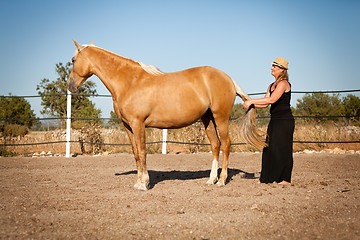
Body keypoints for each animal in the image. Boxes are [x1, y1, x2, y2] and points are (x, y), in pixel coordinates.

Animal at [67, 40, 264, 190]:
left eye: (73, 59)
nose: (70, 86)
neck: (130, 82)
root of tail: (228, 78)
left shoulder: (138, 124)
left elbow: (143, 152)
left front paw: (144, 184)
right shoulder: (128, 126)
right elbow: (136, 153)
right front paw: (138, 182)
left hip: (220, 117)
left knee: (226, 144)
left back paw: (222, 180)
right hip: (207, 119)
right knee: (215, 145)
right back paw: (211, 179)